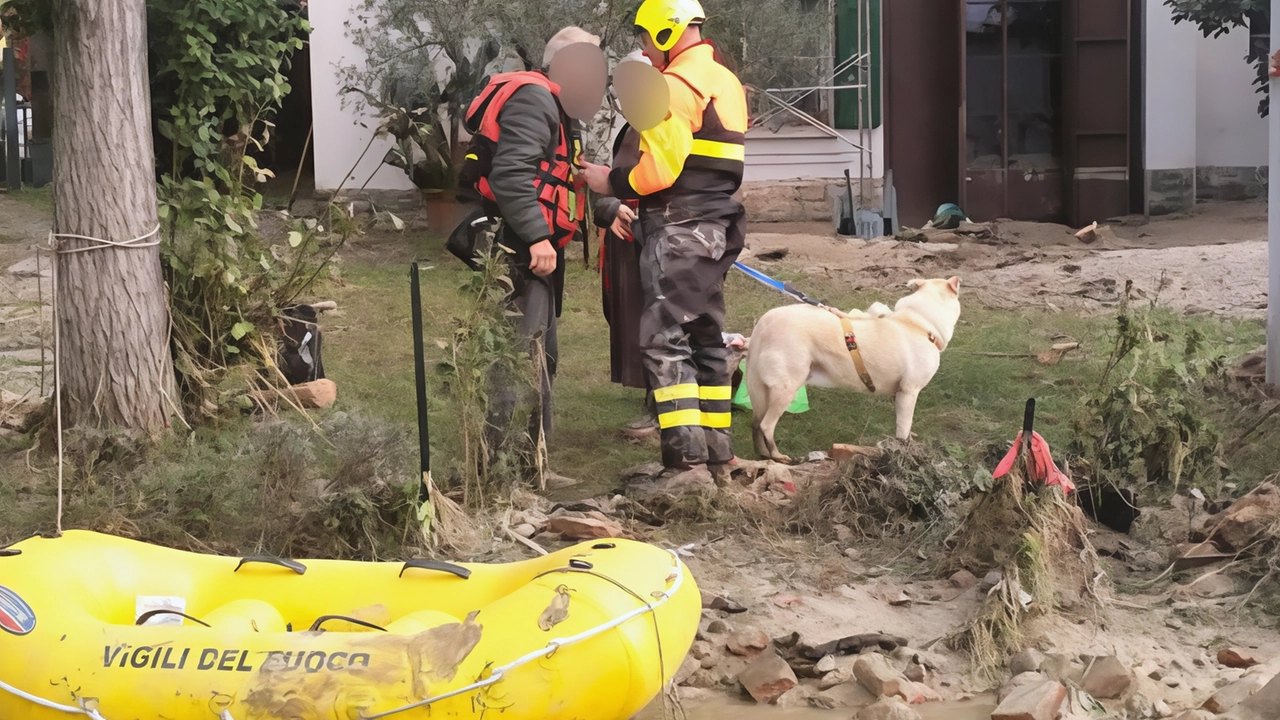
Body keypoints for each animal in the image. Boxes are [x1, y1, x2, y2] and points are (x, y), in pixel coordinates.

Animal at [742, 274, 962, 458]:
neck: (919, 323)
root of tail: (764, 323)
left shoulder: (899, 394)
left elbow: (902, 425)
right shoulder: (909, 392)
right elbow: (903, 428)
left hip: (760, 392)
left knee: (755, 424)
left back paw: (763, 455)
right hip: (786, 389)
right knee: (766, 426)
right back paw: (777, 456)